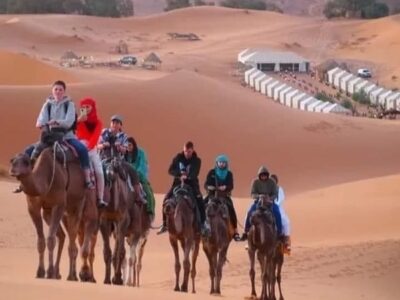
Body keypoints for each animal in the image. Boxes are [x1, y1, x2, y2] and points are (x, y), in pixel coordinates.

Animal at [9, 148, 86, 282]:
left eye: (26, 162)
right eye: (13, 160)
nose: (13, 169)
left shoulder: (59, 203)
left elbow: (50, 239)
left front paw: (49, 272)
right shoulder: (33, 206)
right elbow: (41, 240)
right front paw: (40, 272)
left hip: (77, 205)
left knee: (72, 240)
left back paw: (71, 276)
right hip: (48, 212)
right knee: (62, 235)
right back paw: (58, 273)